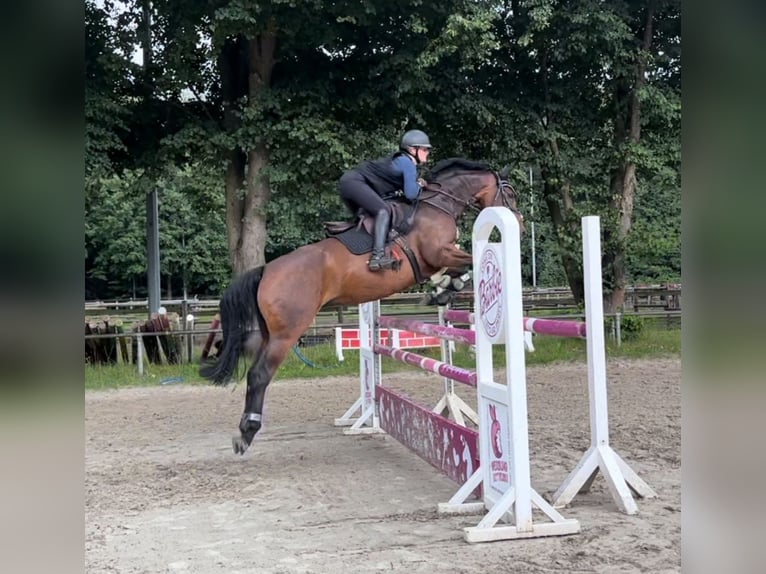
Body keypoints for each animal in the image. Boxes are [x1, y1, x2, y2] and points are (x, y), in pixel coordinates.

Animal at [201, 158, 524, 454]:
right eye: (510, 193)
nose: (519, 223)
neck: (438, 205)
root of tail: (266, 270)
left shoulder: (439, 257)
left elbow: (457, 268)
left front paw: (442, 289)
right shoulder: (438, 252)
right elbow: (468, 261)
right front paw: (444, 289)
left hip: (269, 333)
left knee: (254, 372)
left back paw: (245, 430)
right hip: (286, 333)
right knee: (259, 375)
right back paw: (247, 432)